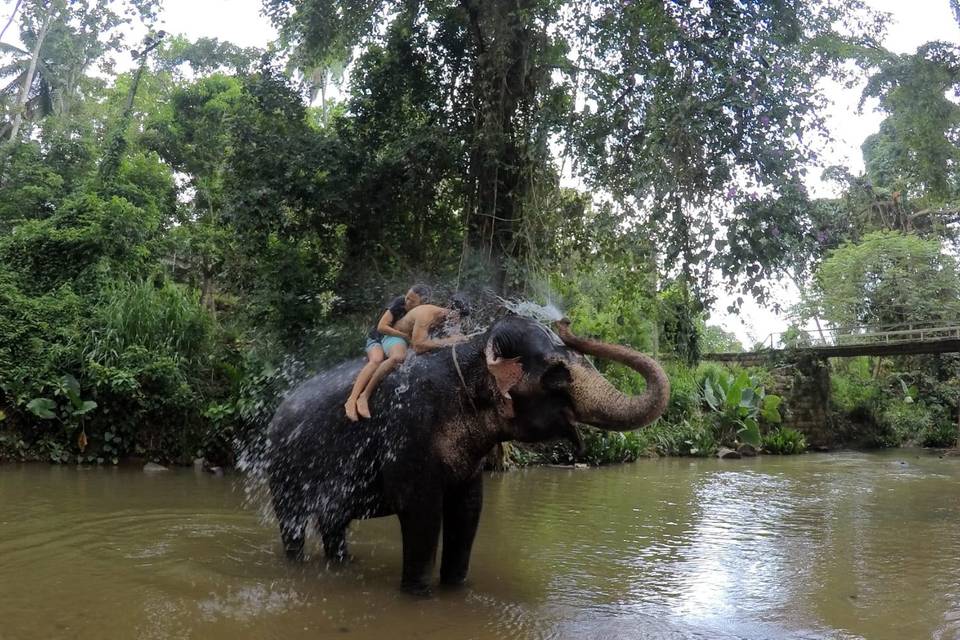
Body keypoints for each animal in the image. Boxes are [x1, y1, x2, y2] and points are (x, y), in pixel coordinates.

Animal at [262, 316, 668, 596]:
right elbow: (422, 515)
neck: (475, 348)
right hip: (283, 470)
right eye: (557, 374)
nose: (564, 322)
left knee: (334, 522)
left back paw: (344, 565)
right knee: (294, 523)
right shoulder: (409, 437)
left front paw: (456, 589)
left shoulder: (470, 462)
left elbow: (469, 511)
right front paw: (419, 595)